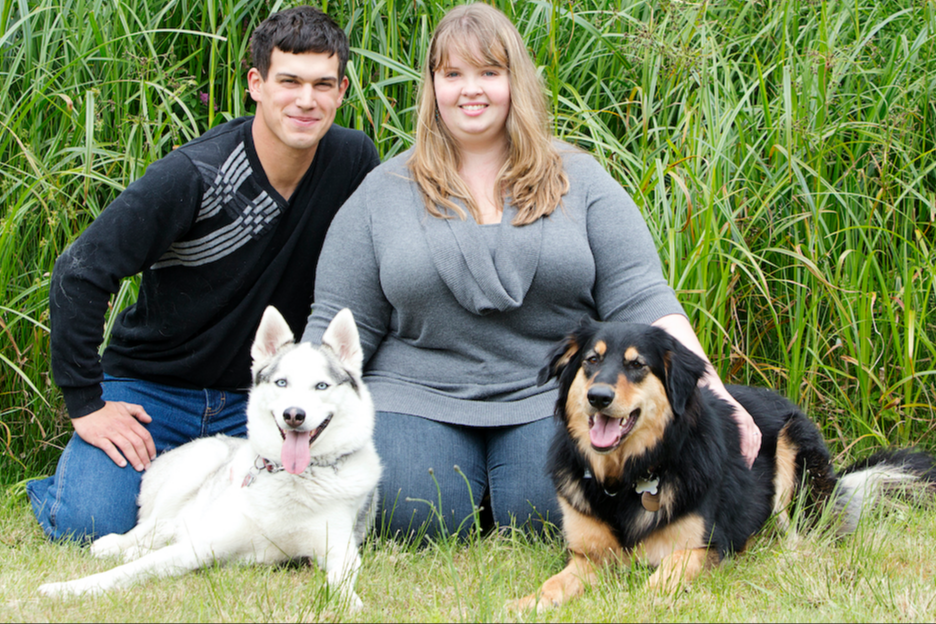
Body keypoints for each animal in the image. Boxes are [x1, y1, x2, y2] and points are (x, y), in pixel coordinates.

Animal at [39, 308, 384, 608]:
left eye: (321, 385)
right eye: (282, 383)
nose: (294, 415)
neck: (292, 479)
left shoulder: (341, 551)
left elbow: (340, 579)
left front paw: (346, 602)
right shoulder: (203, 546)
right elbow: (125, 573)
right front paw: (66, 589)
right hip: (202, 462)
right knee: (153, 526)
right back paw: (115, 545)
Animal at [512, 320, 936, 612]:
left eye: (637, 365)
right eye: (591, 361)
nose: (598, 397)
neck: (626, 476)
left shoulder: (703, 546)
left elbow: (666, 576)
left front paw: (644, 601)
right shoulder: (589, 557)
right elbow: (554, 584)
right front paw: (527, 602)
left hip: (792, 450)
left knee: (801, 535)